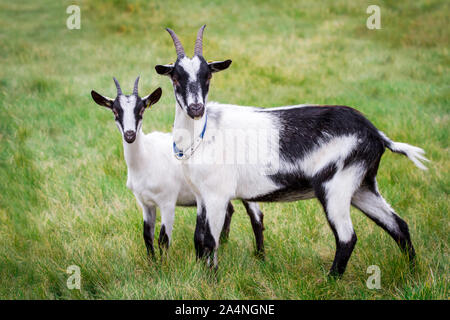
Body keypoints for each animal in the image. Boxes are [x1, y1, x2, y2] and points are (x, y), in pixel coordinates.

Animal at [91, 78, 266, 260]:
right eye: (115, 111)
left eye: (141, 110)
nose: (130, 135)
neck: (146, 158)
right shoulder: (145, 203)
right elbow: (147, 236)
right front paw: (152, 263)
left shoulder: (167, 200)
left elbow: (163, 239)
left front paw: (164, 265)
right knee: (229, 210)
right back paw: (224, 244)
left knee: (256, 217)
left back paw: (260, 256)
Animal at [156, 25, 428, 276]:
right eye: (176, 78)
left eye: (208, 77)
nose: (196, 108)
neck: (204, 133)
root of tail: (376, 134)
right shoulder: (202, 195)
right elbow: (198, 239)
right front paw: (200, 275)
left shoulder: (217, 194)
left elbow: (210, 241)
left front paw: (212, 280)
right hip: (362, 185)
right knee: (398, 225)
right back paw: (412, 271)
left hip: (335, 185)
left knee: (347, 237)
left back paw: (330, 281)